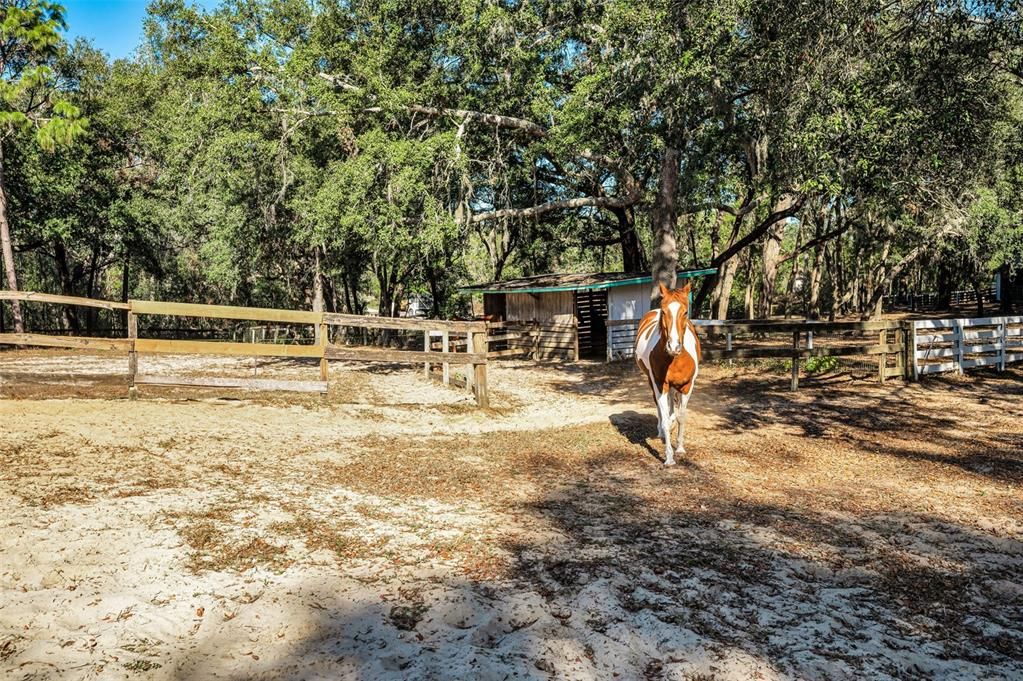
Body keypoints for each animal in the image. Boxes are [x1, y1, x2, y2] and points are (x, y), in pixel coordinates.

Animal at [630, 280, 703, 462]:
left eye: (685, 312)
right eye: (664, 311)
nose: (673, 346)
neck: (675, 359)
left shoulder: (687, 386)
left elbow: (681, 417)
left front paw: (680, 448)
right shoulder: (659, 383)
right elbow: (664, 416)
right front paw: (669, 457)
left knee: (671, 405)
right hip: (652, 381)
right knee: (659, 406)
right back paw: (662, 431)